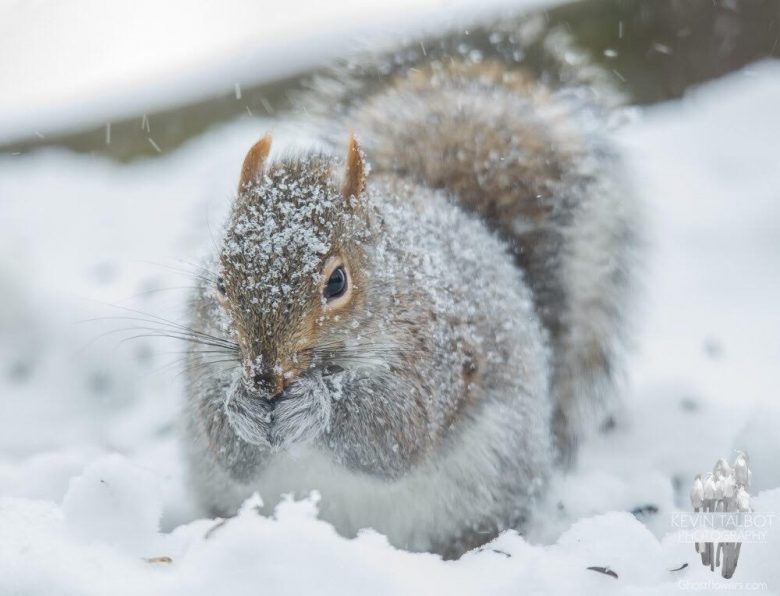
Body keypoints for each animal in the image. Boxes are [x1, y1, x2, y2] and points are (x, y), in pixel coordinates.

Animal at [183, 19, 640, 560]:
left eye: (337, 281)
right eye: (220, 282)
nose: (265, 375)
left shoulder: (438, 350)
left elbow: (397, 432)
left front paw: (316, 404)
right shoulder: (201, 353)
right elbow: (225, 443)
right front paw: (238, 404)